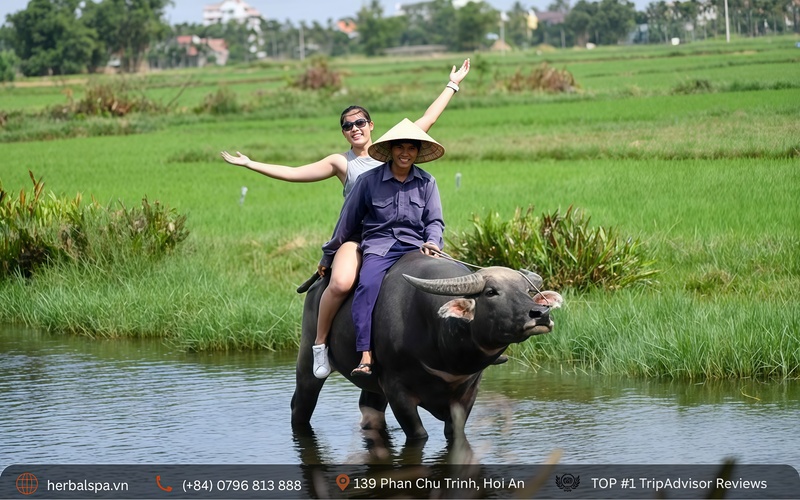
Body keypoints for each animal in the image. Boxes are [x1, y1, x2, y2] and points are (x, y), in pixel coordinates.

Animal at [291, 251, 563, 441]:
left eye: (528, 290)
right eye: (491, 292)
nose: (540, 314)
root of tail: (317, 287)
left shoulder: (468, 391)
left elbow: (455, 433)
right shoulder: (397, 389)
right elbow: (419, 434)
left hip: (373, 386)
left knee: (370, 410)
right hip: (307, 362)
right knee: (301, 403)